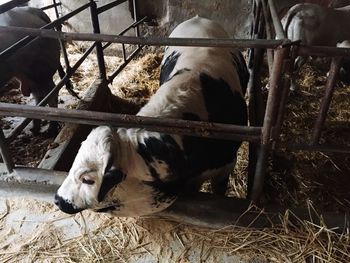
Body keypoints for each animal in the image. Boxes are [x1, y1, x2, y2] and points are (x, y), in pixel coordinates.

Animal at [0, 6, 71, 134]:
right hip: (31, 75)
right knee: (41, 95)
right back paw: (35, 127)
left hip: (40, 70)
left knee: (50, 94)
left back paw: (51, 129)